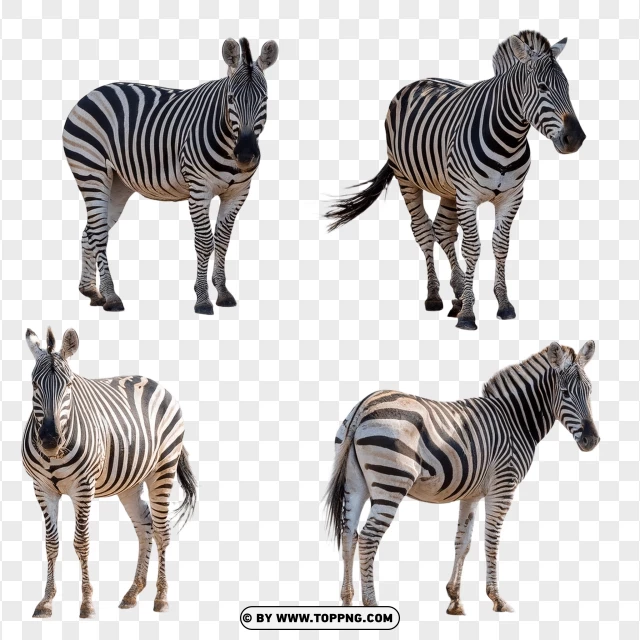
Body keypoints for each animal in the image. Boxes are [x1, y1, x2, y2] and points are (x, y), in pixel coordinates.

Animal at [23, 327, 197, 618]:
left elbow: (81, 542)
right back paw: (132, 592)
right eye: (35, 385)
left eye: (69, 385)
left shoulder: (83, 487)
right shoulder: (42, 488)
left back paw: (161, 597)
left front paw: (87, 603)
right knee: (145, 526)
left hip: (163, 468)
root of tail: (152, 381)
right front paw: (46, 601)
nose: (49, 440)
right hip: (130, 483)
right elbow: (51, 543)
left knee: (162, 530)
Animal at [63, 37, 278, 314]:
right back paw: (111, 297)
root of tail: (91, 93)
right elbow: (205, 242)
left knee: (90, 232)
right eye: (231, 98)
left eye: (264, 98)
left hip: (117, 184)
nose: (246, 155)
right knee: (98, 234)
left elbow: (223, 241)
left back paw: (92, 292)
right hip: (91, 171)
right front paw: (203, 299)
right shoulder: (199, 190)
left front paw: (222, 293)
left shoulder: (237, 193)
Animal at [326, 31, 585, 330]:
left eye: (567, 87)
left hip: (448, 189)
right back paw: (435, 296)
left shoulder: (511, 196)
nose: (576, 138)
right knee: (423, 231)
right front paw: (469, 313)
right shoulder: (468, 196)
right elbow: (472, 248)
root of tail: (419, 80)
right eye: (542, 87)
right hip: (408, 180)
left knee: (443, 230)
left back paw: (458, 291)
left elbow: (501, 245)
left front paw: (503, 303)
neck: (509, 139)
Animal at [326, 341, 598, 614]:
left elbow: (463, 542)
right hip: (391, 480)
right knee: (368, 537)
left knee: (349, 534)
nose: (592, 440)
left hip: (355, 483)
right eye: (565, 393)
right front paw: (497, 599)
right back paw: (371, 602)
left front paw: (455, 599)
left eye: (590, 391)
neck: (515, 420)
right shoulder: (503, 486)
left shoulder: (472, 494)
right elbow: (491, 539)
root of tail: (364, 405)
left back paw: (347, 600)